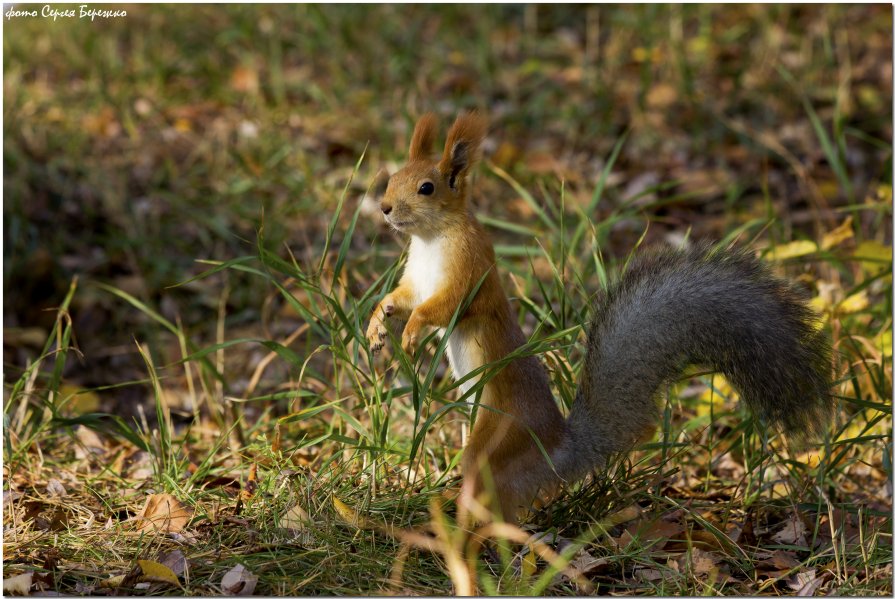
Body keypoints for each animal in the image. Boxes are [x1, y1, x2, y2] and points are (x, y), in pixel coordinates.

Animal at [364, 113, 832, 524]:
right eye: (392, 178)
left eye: (426, 188)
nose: (383, 208)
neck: (431, 239)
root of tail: (556, 449)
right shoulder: (416, 278)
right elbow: (404, 298)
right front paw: (377, 323)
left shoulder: (470, 273)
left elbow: (444, 307)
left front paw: (411, 332)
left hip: (497, 438)